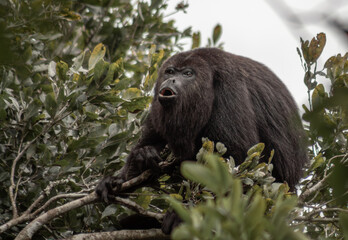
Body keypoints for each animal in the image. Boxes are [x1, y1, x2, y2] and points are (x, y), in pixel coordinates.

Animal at [96, 47, 308, 233]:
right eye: (170, 71)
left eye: (188, 74)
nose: (171, 79)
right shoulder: (157, 105)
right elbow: (149, 141)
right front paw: (120, 176)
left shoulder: (229, 92)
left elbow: (237, 164)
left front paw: (184, 214)